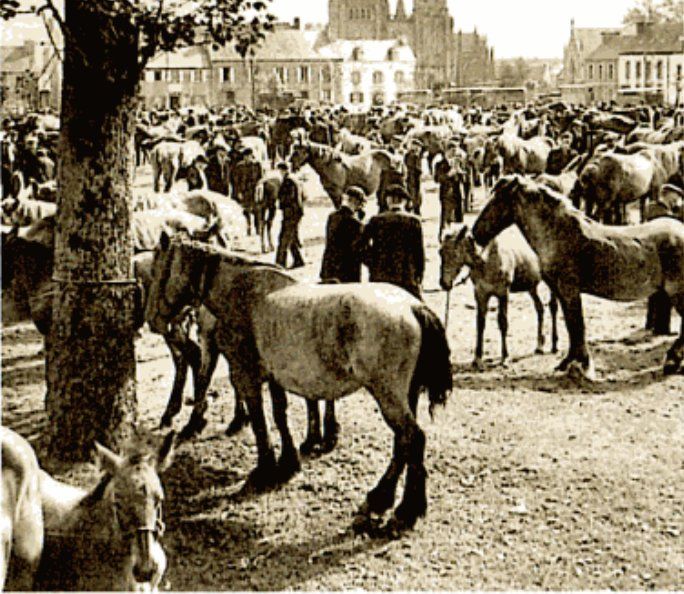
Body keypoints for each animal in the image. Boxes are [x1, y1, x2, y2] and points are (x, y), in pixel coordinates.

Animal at [146, 235, 452, 532]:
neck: (241, 292)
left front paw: (264, 470)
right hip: (407, 395)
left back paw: (406, 509)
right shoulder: (273, 377)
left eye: (157, 271)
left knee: (413, 438)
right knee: (403, 443)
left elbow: (259, 422)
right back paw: (382, 499)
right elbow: (280, 415)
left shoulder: (247, 376)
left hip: (388, 395)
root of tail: (413, 306)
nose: (152, 320)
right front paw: (288, 463)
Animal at [440, 224, 560, 368]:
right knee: (540, 308)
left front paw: (505, 357)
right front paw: (477, 359)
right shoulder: (481, 294)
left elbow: (503, 322)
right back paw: (539, 347)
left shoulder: (503, 293)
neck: (487, 260)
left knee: (553, 307)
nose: (444, 283)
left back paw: (554, 345)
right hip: (531, 286)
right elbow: (480, 323)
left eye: (455, 253)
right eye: (440, 252)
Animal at [472, 176, 684, 380]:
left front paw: (583, 366)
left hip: (677, 293)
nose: (475, 233)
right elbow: (571, 326)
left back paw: (672, 361)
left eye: (498, 200)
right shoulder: (561, 292)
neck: (559, 234)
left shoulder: (570, 291)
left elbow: (576, 325)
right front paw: (569, 362)